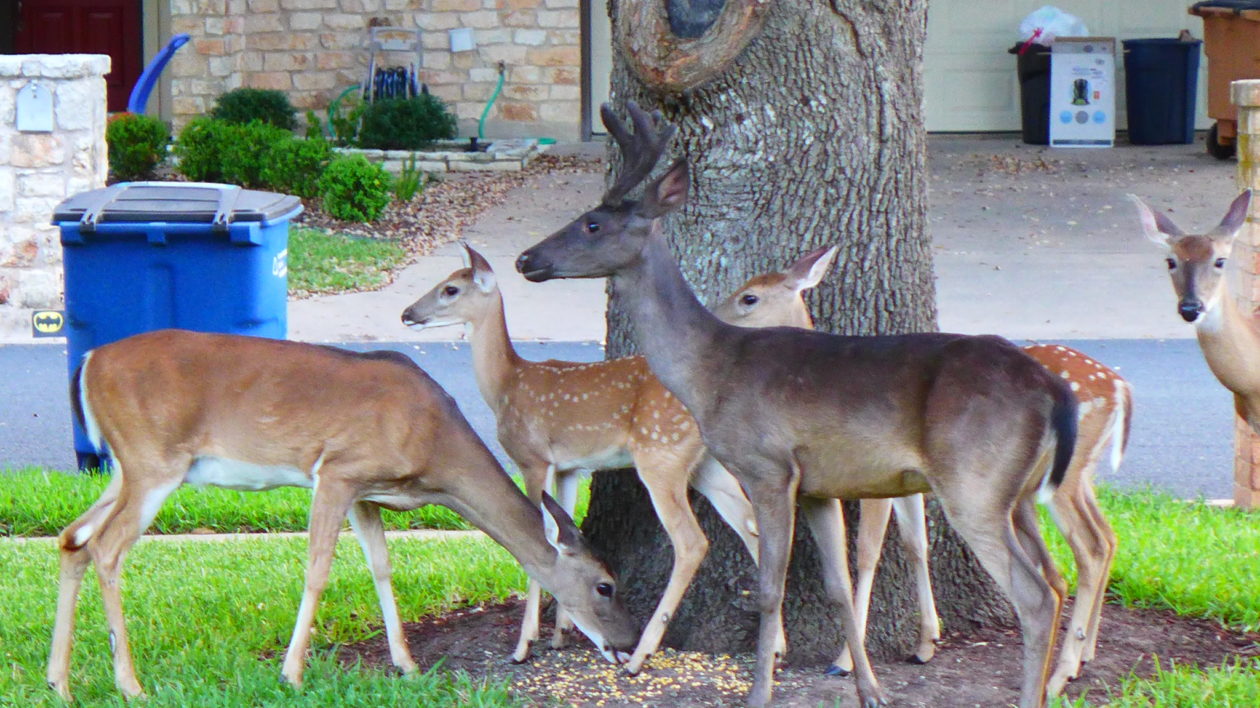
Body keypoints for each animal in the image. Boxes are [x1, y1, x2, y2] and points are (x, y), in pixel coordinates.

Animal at [46, 330, 640, 700]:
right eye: (606, 584)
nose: (630, 642)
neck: (435, 455)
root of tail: (89, 360)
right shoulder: (337, 470)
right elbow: (317, 569)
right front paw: (291, 674)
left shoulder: (366, 492)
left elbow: (381, 567)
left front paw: (407, 664)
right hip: (153, 460)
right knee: (106, 548)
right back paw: (130, 685)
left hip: (126, 467)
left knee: (72, 537)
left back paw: (60, 683)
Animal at [403, 239, 836, 670]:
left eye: (450, 289)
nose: (408, 314)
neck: (505, 385)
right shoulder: (569, 467)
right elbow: (566, 530)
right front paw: (561, 633)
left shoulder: (532, 457)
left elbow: (540, 538)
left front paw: (524, 645)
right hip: (706, 464)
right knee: (751, 524)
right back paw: (776, 648)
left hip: (659, 454)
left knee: (692, 541)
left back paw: (642, 653)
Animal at [511, 100, 1073, 705]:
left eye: (593, 223)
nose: (525, 258)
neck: (710, 370)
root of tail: (1052, 389)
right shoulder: (819, 487)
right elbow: (837, 588)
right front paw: (870, 690)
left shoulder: (768, 468)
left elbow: (769, 587)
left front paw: (761, 691)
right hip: (1019, 493)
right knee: (1058, 578)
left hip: (975, 482)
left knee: (1035, 594)